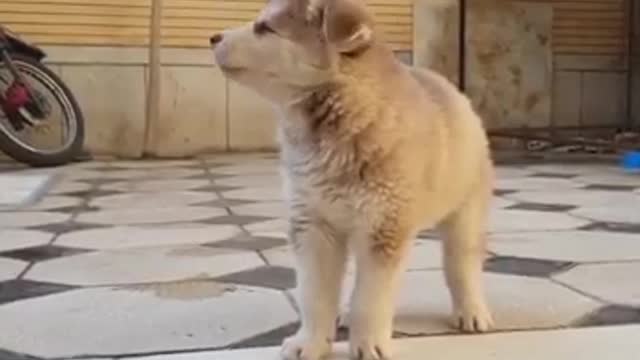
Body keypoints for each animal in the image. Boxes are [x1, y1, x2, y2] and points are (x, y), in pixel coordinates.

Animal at [212, 1, 492, 358]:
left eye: (265, 28)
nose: (212, 37)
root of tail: (447, 86)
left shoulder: (384, 226)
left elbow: (371, 297)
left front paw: (370, 343)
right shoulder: (312, 224)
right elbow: (314, 294)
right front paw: (310, 342)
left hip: (464, 212)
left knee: (461, 265)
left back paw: (471, 311)